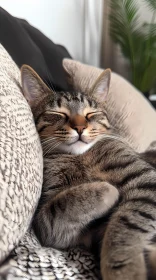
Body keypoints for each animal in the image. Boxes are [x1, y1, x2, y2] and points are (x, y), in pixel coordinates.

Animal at [21, 65, 156, 280]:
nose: (79, 127)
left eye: (91, 113)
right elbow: (63, 206)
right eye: (58, 113)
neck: (81, 158)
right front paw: (107, 190)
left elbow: (125, 227)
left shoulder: (146, 180)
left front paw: (124, 270)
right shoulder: (50, 227)